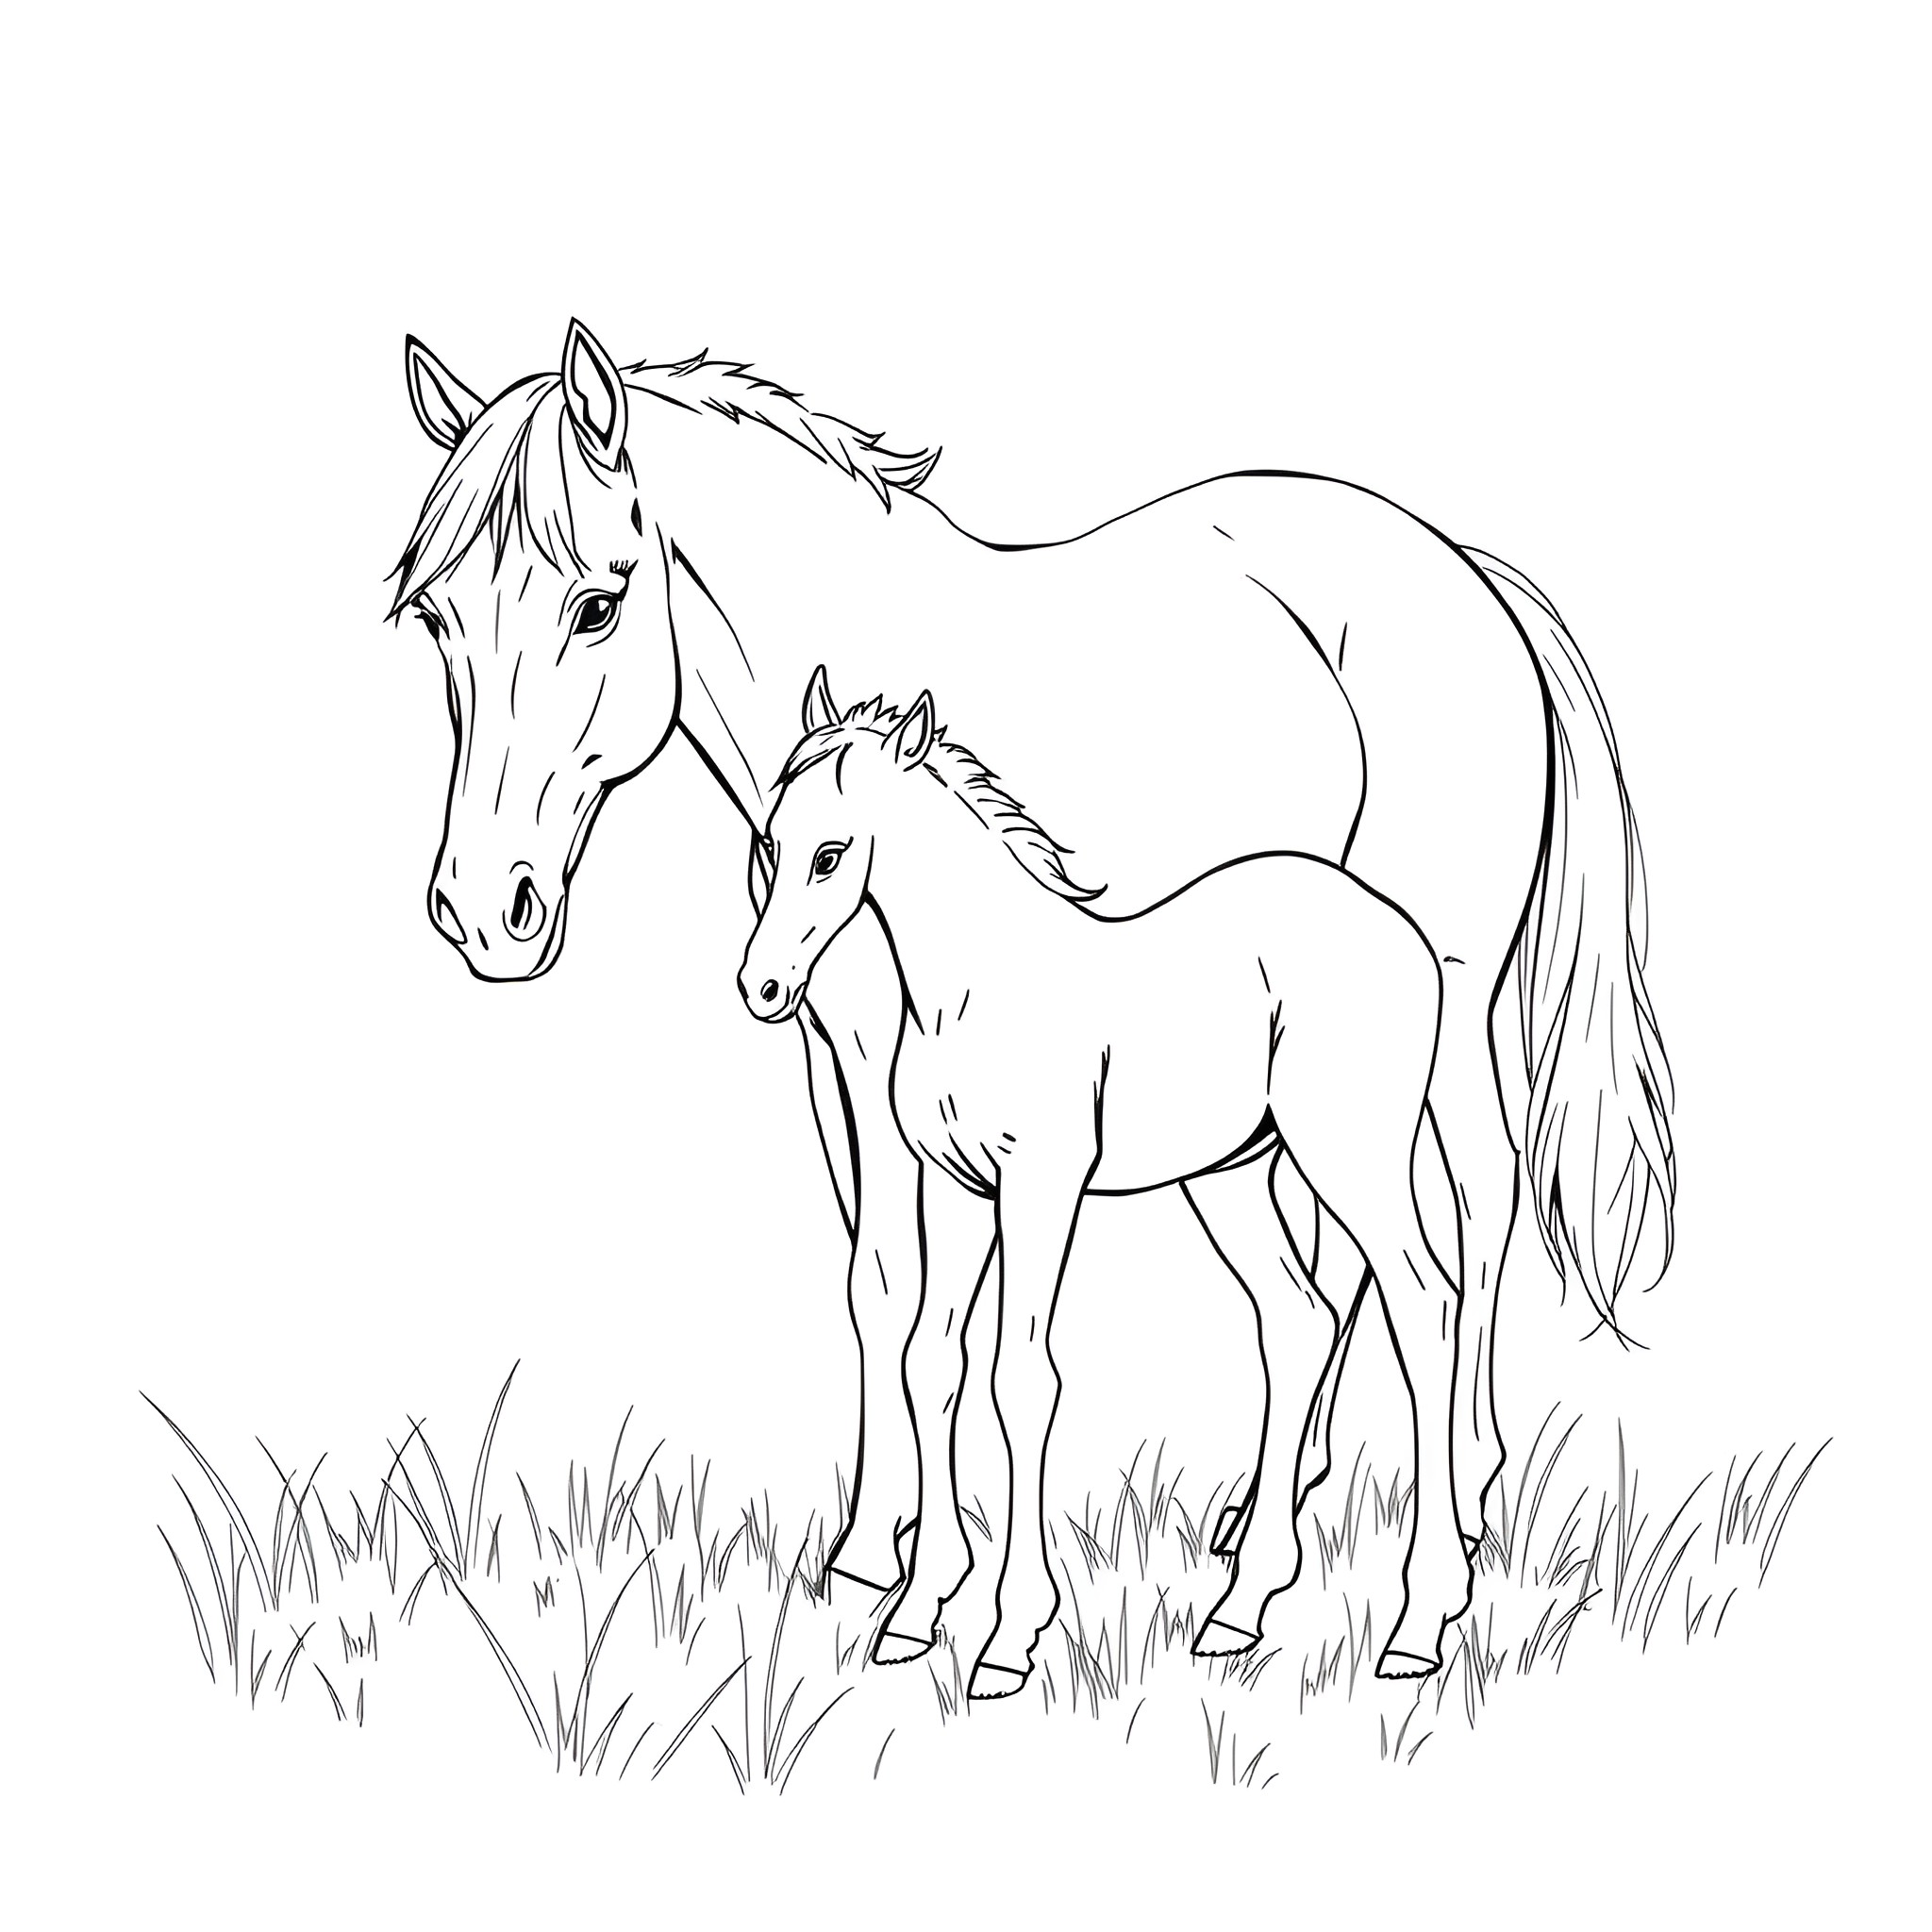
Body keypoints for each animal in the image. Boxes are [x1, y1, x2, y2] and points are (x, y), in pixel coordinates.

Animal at [742, 678, 1471, 1690]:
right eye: (770, 846)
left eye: (830, 854)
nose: (762, 988)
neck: (972, 989)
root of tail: (1398, 927)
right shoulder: (956, 1190)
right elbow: (933, 1361)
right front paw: (916, 1611)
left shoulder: (1040, 1188)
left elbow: (1021, 1377)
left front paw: (1010, 1636)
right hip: (1234, 1176)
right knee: (1300, 1319)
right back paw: (1242, 1605)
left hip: (1351, 1152)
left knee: (1422, 1302)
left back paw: (1419, 1624)